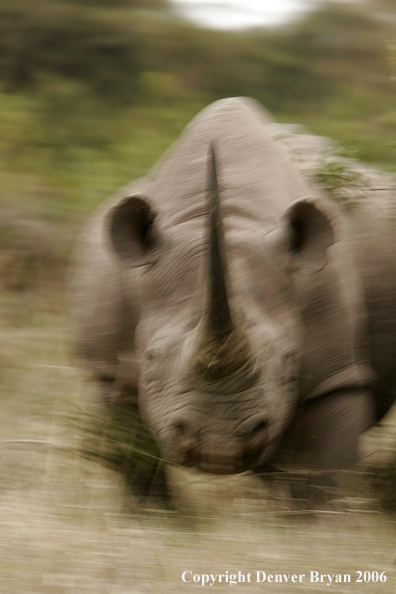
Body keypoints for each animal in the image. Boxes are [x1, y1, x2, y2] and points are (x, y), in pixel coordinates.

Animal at [69, 98, 396, 504]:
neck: (232, 215)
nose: (218, 444)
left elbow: (325, 478)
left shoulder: (336, 377)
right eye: (150, 359)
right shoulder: (106, 367)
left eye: (291, 359)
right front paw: (155, 517)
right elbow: (134, 459)